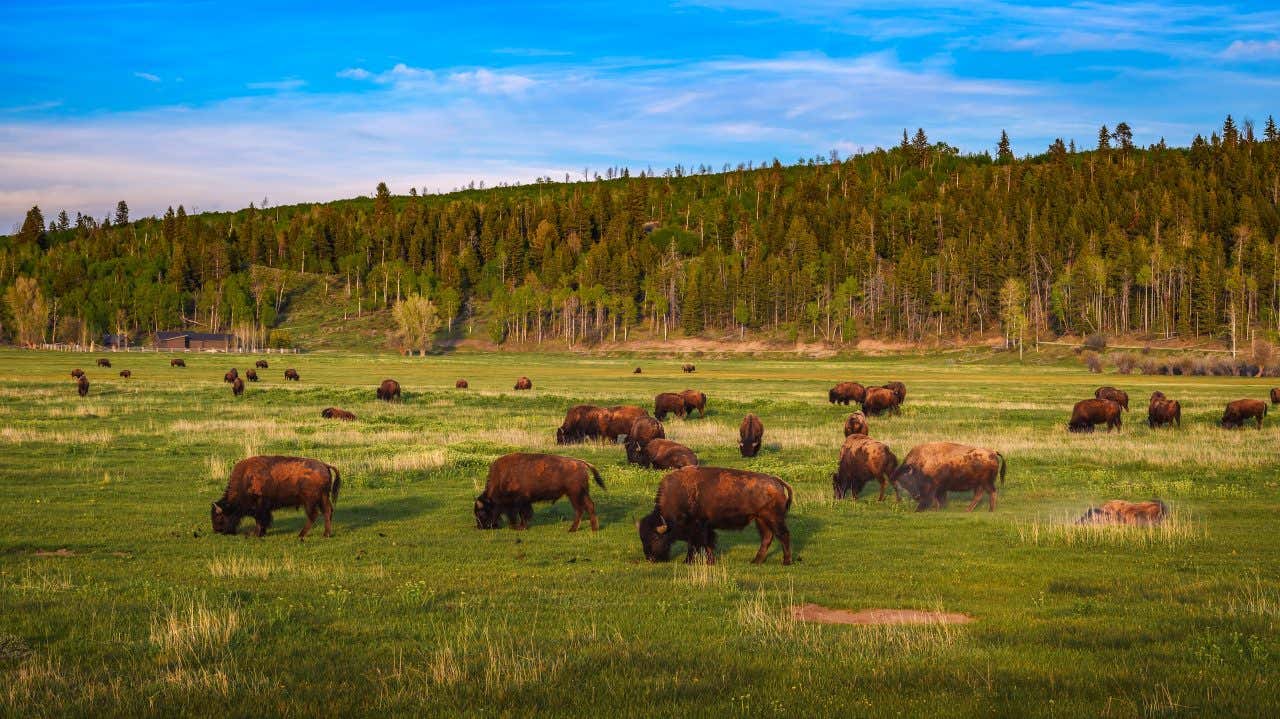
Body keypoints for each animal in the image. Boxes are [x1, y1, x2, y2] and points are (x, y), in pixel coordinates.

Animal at [211, 455, 340, 534]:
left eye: (220, 517)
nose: (217, 530)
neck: (245, 478)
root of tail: (325, 465)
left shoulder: (260, 505)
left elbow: (260, 519)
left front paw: (255, 533)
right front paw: (261, 533)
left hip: (310, 501)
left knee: (314, 515)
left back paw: (301, 535)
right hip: (323, 497)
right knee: (327, 511)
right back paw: (326, 534)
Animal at [476, 452, 604, 532]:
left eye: (482, 512)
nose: (480, 527)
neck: (502, 477)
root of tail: (581, 463)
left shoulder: (520, 501)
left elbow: (522, 514)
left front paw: (520, 527)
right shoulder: (524, 502)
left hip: (575, 494)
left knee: (579, 510)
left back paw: (572, 529)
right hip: (581, 493)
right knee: (589, 506)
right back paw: (594, 528)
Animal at [637, 465, 788, 565]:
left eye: (655, 537)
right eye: (642, 538)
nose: (650, 559)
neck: (680, 494)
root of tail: (776, 481)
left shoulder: (696, 527)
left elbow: (694, 545)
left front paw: (687, 561)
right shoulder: (706, 528)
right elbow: (708, 544)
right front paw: (711, 561)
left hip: (773, 519)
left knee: (783, 535)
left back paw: (786, 561)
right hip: (761, 519)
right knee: (767, 537)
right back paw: (756, 561)